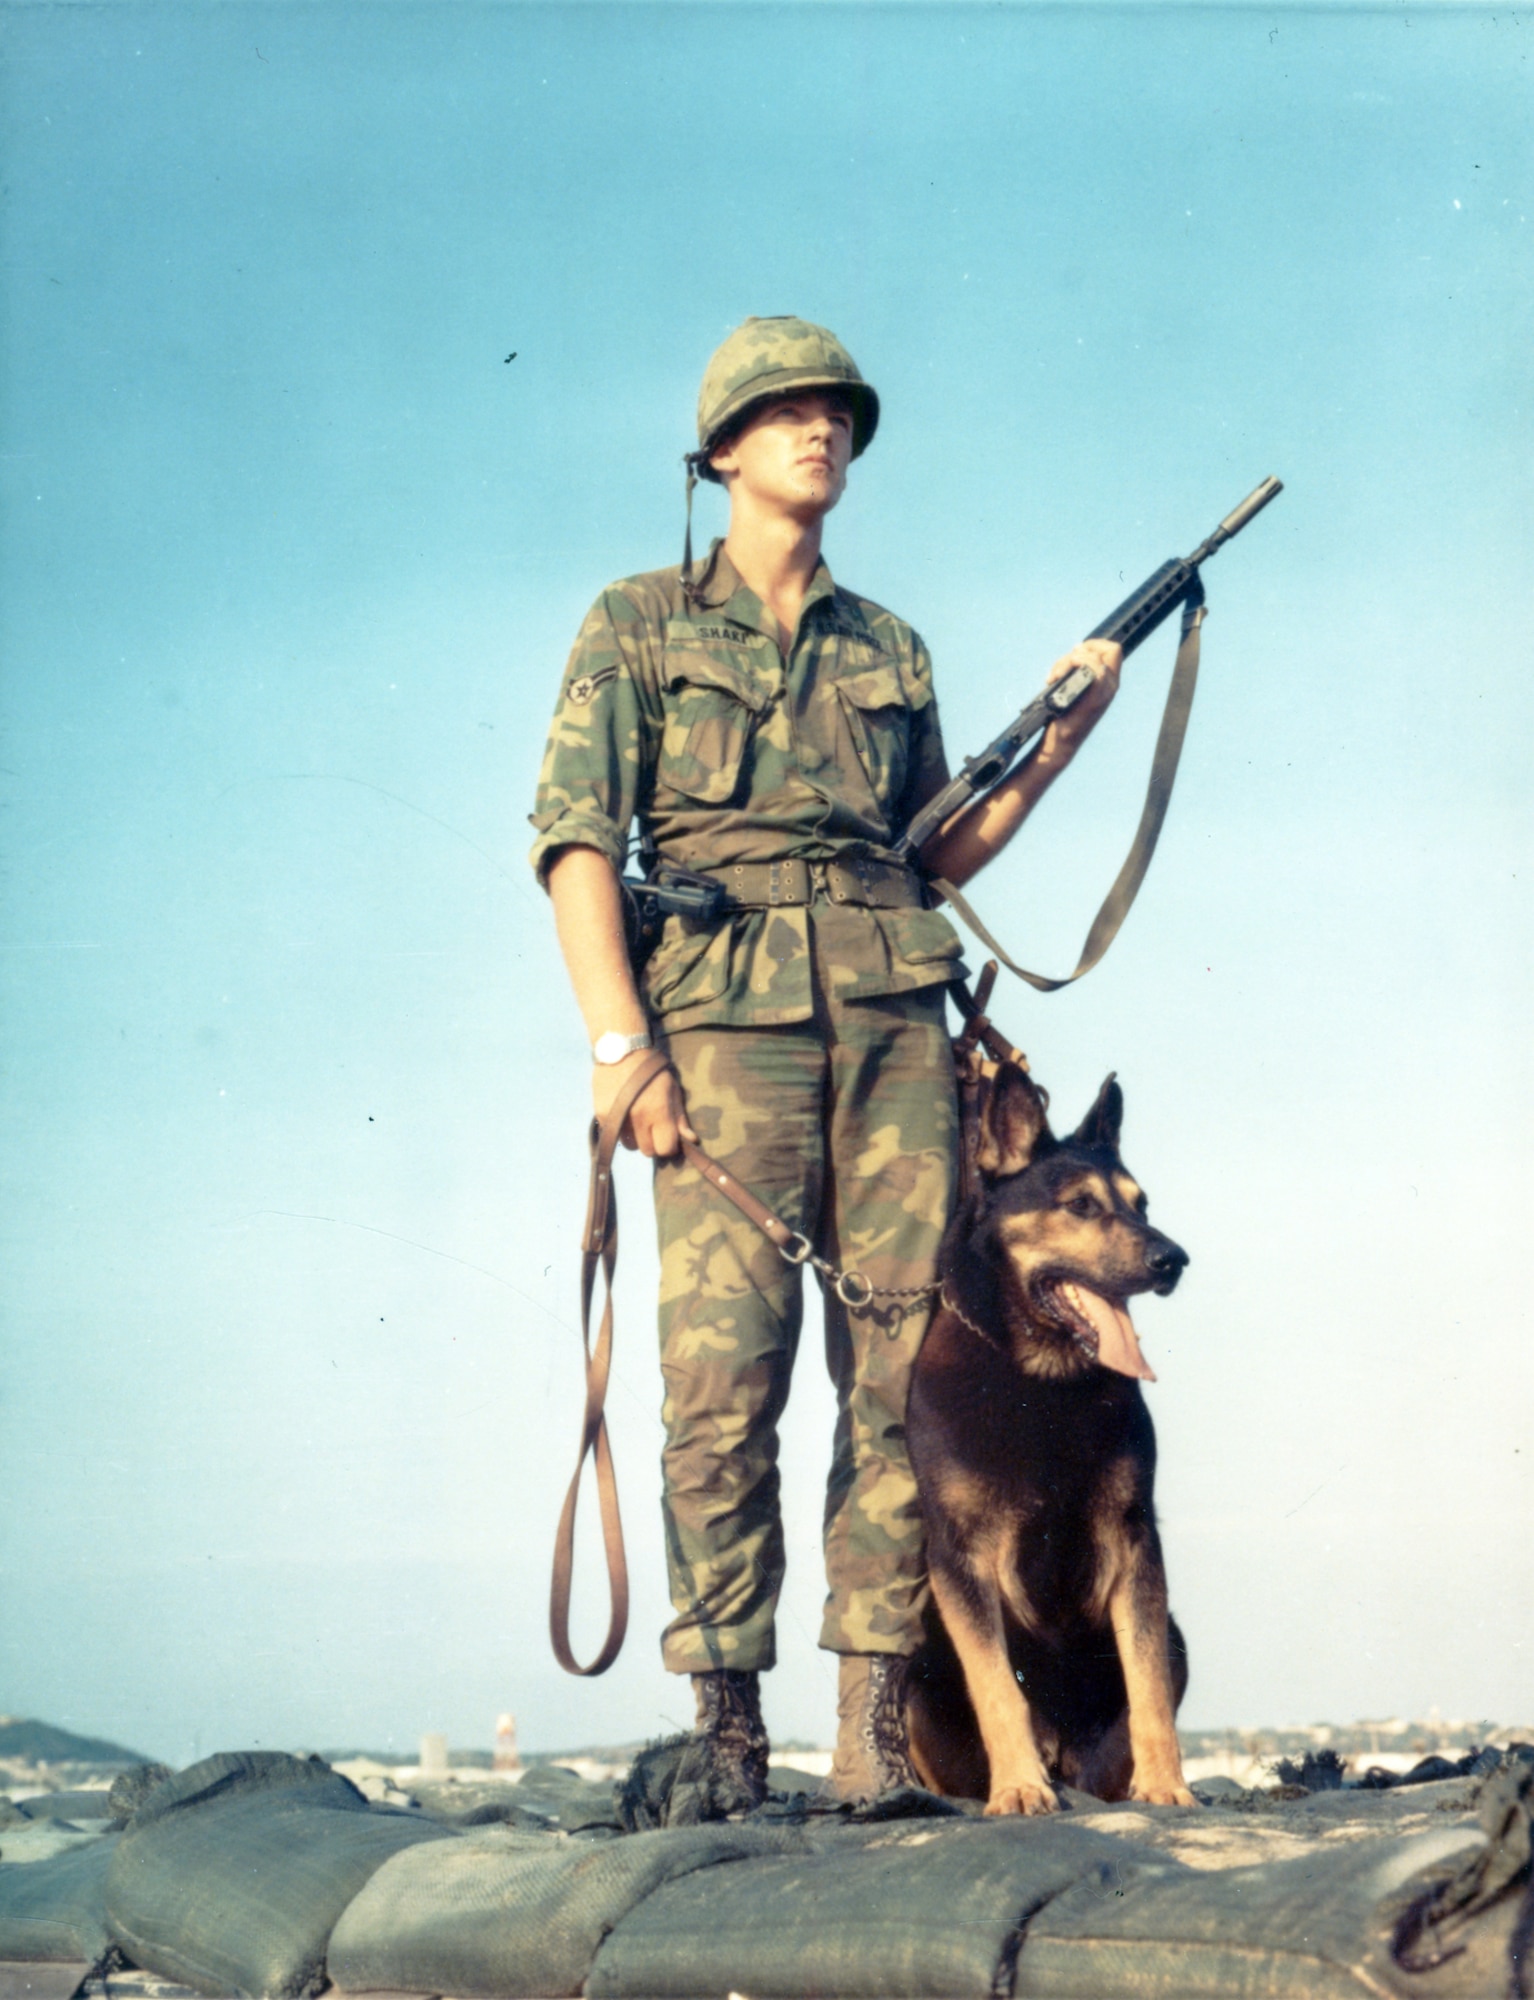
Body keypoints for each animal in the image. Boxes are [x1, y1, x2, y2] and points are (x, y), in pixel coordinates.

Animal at [900, 1064, 1200, 1816]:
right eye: (1081, 1206)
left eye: (1141, 1203)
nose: (1174, 1261)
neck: (1041, 1380)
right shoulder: (962, 1558)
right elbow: (997, 1686)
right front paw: (1018, 1787)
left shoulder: (1134, 1541)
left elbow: (1148, 1687)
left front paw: (1166, 1785)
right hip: (916, 1675)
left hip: (1179, 1638)